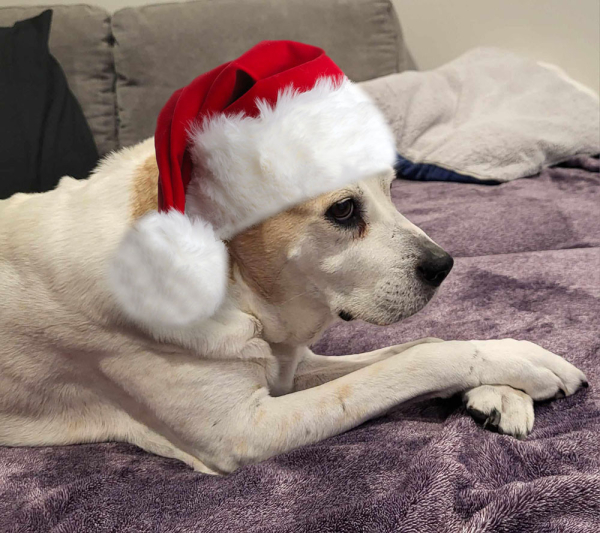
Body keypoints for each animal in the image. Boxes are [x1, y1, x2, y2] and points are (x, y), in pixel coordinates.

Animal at [0, 137, 592, 474]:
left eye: (392, 188)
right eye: (344, 210)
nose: (445, 266)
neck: (235, 283)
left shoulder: (291, 364)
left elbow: (421, 342)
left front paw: (498, 391)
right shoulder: (243, 428)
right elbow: (415, 360)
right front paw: (522, 362)